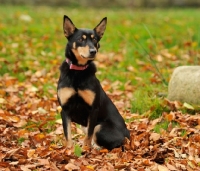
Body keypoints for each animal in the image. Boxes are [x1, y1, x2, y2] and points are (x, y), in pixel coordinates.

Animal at [57, 15, 130, 150]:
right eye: (81, 39)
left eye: (95, 39)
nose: (93, 51)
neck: (78, 71)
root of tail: (128, 135)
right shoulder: (65, 109)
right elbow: (68, 135)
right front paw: (69, 150)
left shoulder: (93, 109)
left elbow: (89, 136)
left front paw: (85, 149)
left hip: (100, 127)